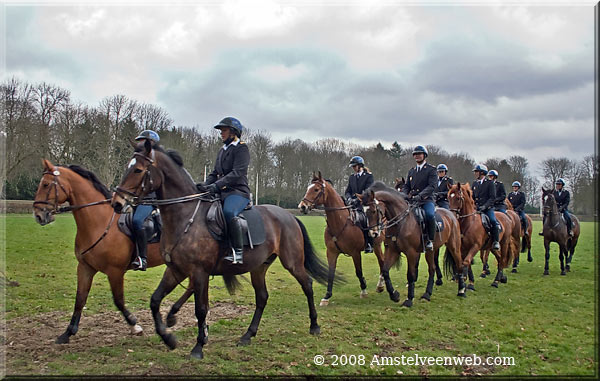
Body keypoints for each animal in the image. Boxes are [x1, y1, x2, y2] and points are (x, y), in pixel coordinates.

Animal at [32, 159, 193, 342]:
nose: (38, 215)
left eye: (45, 184)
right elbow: (80, 298)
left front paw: (135, 325)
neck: (99, 222)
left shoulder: (115, 271)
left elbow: (118, 300)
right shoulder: (85, 268)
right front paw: (68, 332)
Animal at [112, 140, 328, 360]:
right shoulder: (175, 270)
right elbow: (155, 300)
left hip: (292, 262)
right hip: (259, 267)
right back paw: (247, 335)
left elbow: (201, 309)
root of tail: (289, 215)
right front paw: (168, 338)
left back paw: (314, 325)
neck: (185, 216)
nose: (117, 202)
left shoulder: (199, 272)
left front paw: (198, 346)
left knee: (307, 285)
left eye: (138, 170)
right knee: (262, 297)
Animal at [298, 172, 384, 306]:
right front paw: (327, 296)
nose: (302, 207)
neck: (340, 222)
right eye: (308, 188)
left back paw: (381, 285)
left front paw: (364, 290)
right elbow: (330, 273)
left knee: (382, 262)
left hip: (377, 246)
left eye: (316, 189)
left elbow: (359, 272)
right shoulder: (331, 252)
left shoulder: (355, 253)